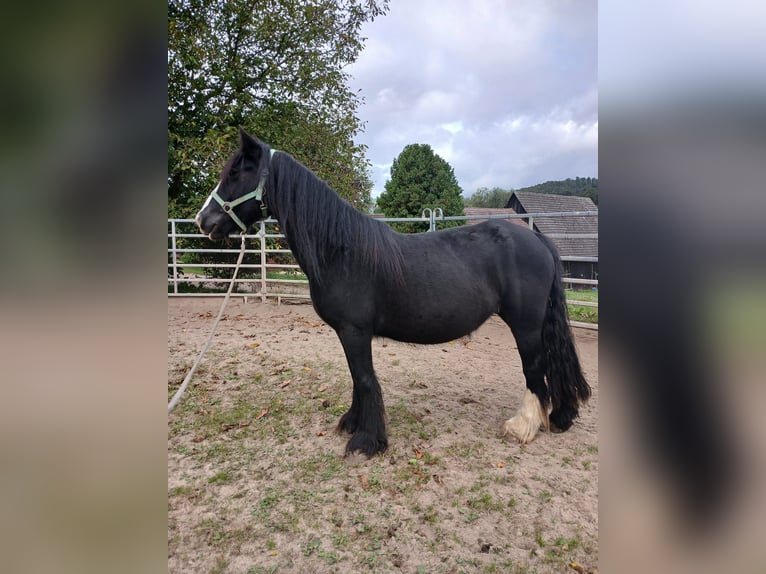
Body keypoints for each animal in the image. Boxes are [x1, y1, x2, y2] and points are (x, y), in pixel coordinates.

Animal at [198, 130, 592, 460]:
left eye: (236, 173)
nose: (204, 221)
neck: (340, 250)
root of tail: (537, 239)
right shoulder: (348, 333)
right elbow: (357, 379)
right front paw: (352, 424)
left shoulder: (355, 331)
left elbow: (365, 380)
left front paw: (366, 442)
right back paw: (560, 416)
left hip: (525, 326)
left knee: (536, 369)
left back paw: (523, 426)